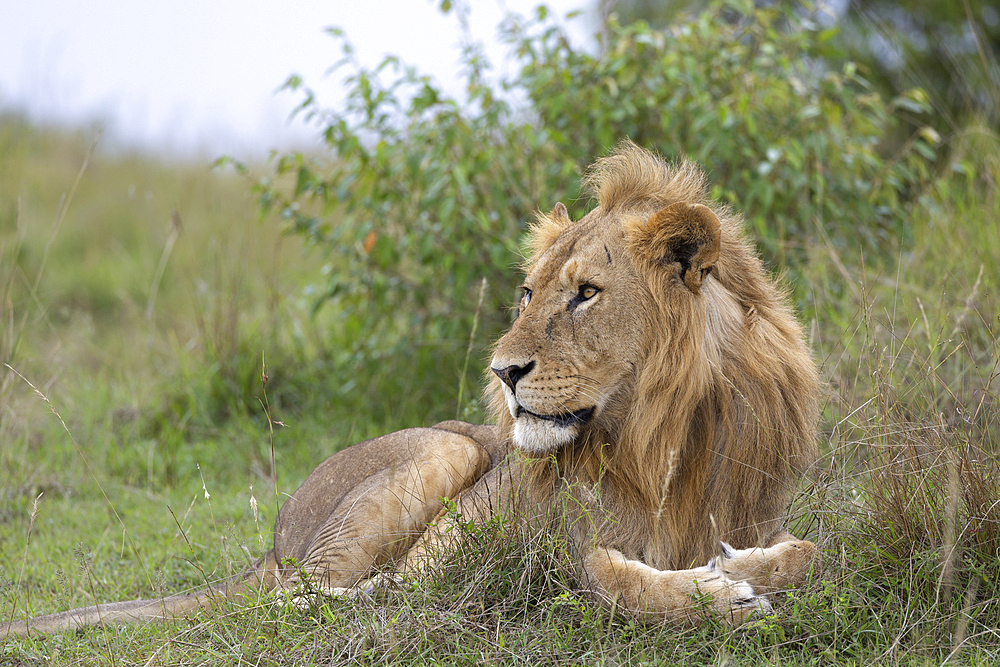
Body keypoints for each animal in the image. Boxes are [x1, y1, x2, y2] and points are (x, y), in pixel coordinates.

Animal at [1, 141, 820, 636]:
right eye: (528, 294)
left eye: (586, 293)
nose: (503, 372)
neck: (660, 435)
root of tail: (274, 539)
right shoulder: (552, 549)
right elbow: (607, 574)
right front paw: (717, 591)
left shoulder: (754, 509)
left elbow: (806, 551)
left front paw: (737, 567)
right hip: (437, 457)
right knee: (306, 594)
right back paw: (383, 592)